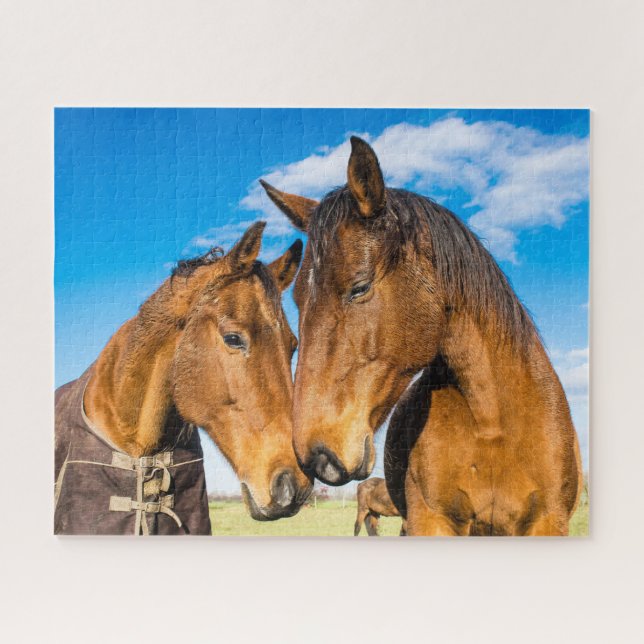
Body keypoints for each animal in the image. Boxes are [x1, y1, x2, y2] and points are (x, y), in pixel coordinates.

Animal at [260, 137, 582, 536]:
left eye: (359, 287)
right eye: (298, 300)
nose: (316, 456)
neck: (492, 423)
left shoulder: (547, 522)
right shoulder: (431, 521)